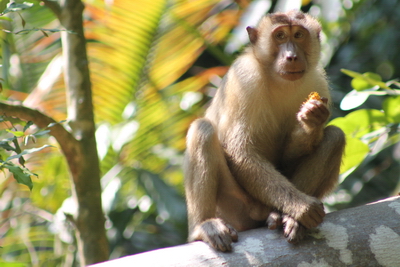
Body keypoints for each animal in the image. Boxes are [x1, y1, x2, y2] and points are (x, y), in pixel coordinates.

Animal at [184, 11, 344, 253]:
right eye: (280, 36)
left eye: (298, 35)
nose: (292, 56)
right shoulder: (244, 77)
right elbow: (240, 151)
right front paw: (301, 208)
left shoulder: (317, 81)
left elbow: (287, 158)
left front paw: (312, 120)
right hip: (236, 207)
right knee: (202, 130)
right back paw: (203, 226)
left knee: (335, 136)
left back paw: (283, 217)